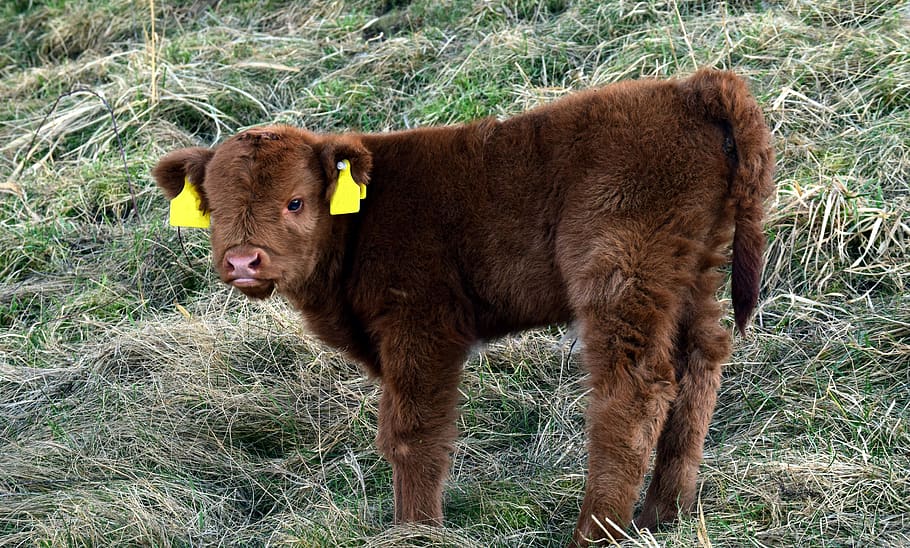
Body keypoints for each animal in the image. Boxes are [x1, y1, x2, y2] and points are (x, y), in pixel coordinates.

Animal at [153, 69, 774, 545]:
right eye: (214, 207)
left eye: (296, 202)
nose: (242, 260)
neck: (363, 218)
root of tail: (691, 88)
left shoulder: (421, 328)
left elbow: (413, 433)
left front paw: (415, 529)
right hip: (693, 274)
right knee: (700, 364)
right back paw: (664, 514)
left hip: (621, 274)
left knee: (634, 391)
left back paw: (597, 532)